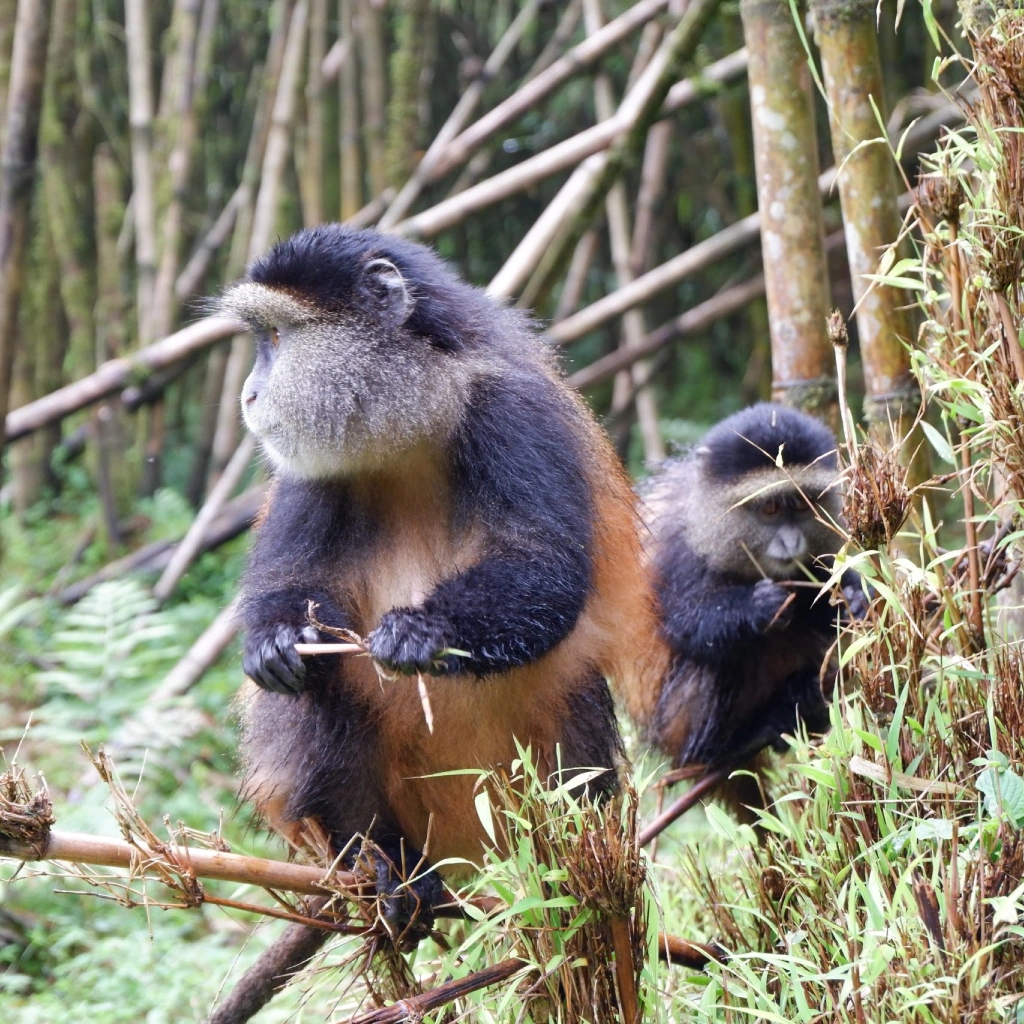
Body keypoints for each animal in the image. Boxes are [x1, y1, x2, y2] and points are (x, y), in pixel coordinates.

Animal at [216, 224, 666, 937]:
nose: (250, 396)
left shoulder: (513, 413)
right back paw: (386, 870)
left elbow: (546, 569)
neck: (416, 421)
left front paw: (421, 631)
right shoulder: (307, 471)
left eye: (279, 339)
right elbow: (288, 586)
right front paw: (275, 641)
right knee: (318, 689)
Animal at [624, 403, 865, 820]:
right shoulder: (680, 550)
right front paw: (758, 607)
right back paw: (728, 746)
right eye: (769, 508)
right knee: (723, 658)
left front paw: (854, 596)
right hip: (676, 725)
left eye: (800, 504)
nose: (791, 541)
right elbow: (684, 624)